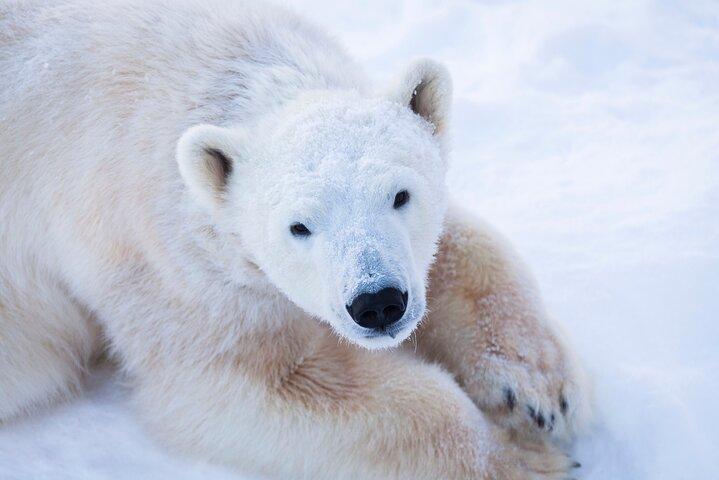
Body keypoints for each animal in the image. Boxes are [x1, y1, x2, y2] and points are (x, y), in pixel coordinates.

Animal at [0, 1, 592, 478]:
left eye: (400, 195)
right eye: (299, 226)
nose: (378, 303)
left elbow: (460, 247)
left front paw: (536, 389)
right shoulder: (159, 257)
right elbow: (263, 385)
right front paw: (522, 456)